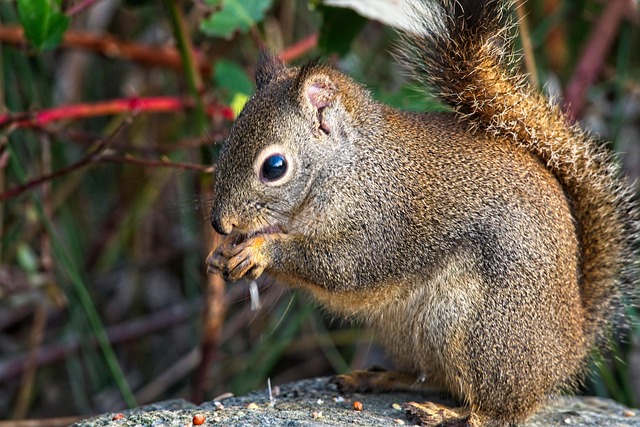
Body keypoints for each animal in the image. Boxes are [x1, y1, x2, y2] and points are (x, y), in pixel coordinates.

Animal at [206, 0, 637, 426]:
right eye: (226, 141)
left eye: (275, 167)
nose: (219, 223)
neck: (347, 166)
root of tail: (570, 348)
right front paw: (221, 253)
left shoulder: (382, 220)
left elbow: (344, 265)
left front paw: (260, 250)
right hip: (414, 332)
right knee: (432, 376)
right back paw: (381, 379)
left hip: (481, 331)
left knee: (502, 410)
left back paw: (453, 414)